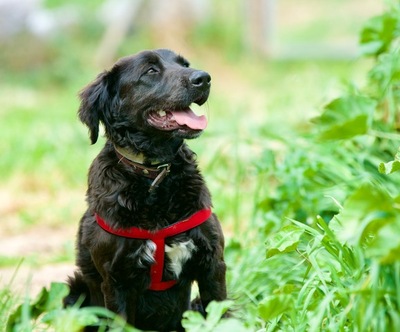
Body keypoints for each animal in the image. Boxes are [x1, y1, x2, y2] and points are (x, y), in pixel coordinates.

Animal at [65, 50, 228, 332]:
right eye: (150, 71)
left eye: (184, 64)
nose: (204, 78)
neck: (155, 176)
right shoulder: (116, 280)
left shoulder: (212, 265)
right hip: (77, 292)